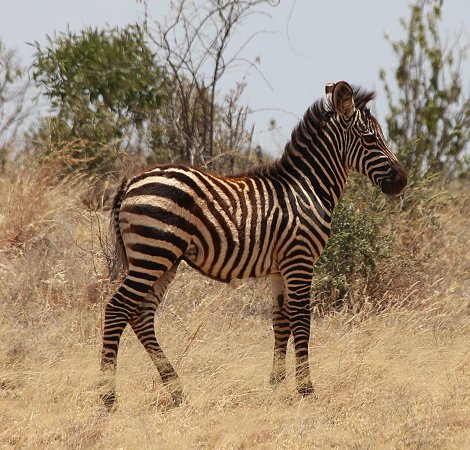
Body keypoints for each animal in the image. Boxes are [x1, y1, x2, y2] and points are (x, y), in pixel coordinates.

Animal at [100, 81, 408, 408]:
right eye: (370, 137)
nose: (402, 180)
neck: (307, 189)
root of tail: (130, 182)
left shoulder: (279, 267)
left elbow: (281, 321)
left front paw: (276, 384)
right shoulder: (300, 259)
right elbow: (302, 320)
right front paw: (306, 388)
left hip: (163, 258)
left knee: (140, 315)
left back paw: (176, 389)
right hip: (154, 252)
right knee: (117, 308)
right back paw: (108, 397)